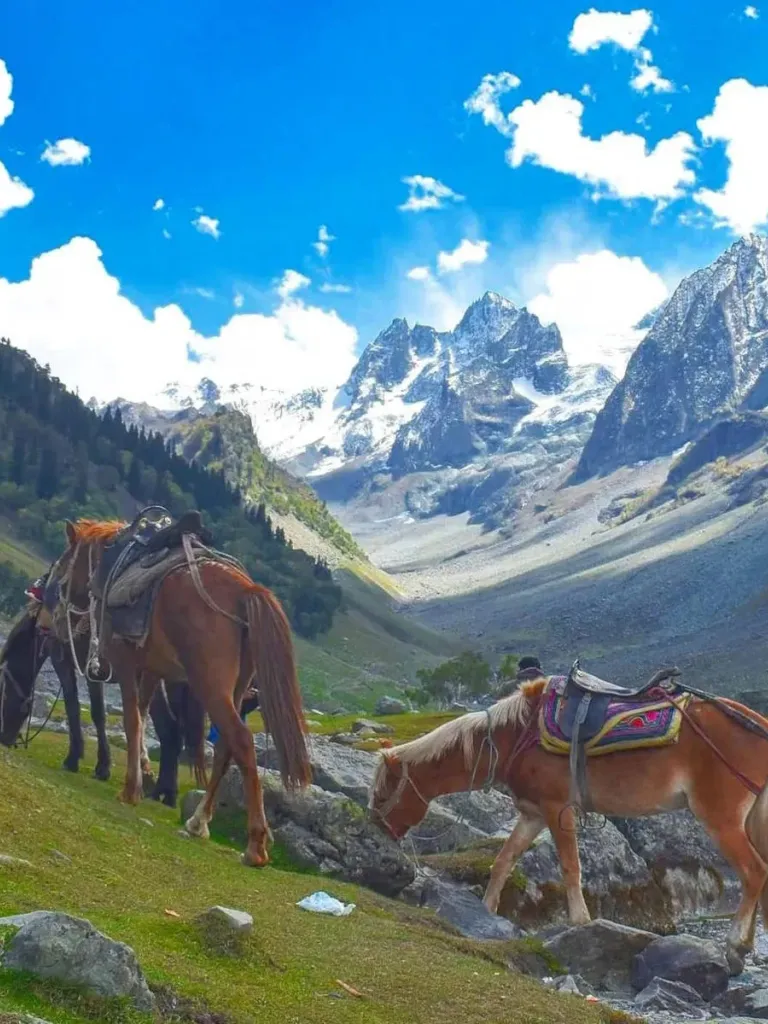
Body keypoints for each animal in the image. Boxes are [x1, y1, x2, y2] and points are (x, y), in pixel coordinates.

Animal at [49, 517, 310, 867]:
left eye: (65, 562)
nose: (56, 617)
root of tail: (245, 590)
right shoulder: (152, 669)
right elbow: (142, 715)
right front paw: (143, 773)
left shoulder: (127, 663)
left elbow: (132, 720)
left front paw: (130, 789)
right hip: (236, 688)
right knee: (226, 748)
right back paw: (198, 821)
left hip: (211, 685)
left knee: (241, 741)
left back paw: (255, 845)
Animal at [369, 677, 768, 971]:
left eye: (382, 793)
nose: (378, 829)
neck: (516, 734)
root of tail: (758, 723)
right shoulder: (531, 814)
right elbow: (503, 861)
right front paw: (487, 909)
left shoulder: (557, 808)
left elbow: (570, 866)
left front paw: (579, 920)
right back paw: (747, 942)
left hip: (719, 817)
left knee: (753, 871)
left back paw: (736, 944)